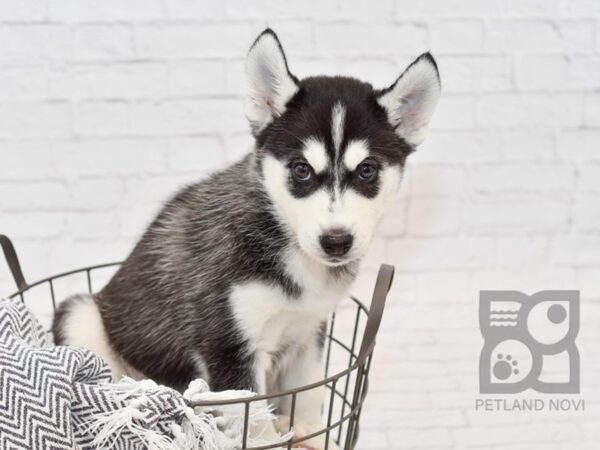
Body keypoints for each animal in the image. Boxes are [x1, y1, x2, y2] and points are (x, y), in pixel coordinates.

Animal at [52, 29, 440, 448]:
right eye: (301, 170)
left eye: (367, 170)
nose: (336, 242)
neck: (285, 240)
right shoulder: (228, 347)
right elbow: (255, 425)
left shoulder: (308, 334)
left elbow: (309, 395)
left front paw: (310, 434)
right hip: (82, 316)